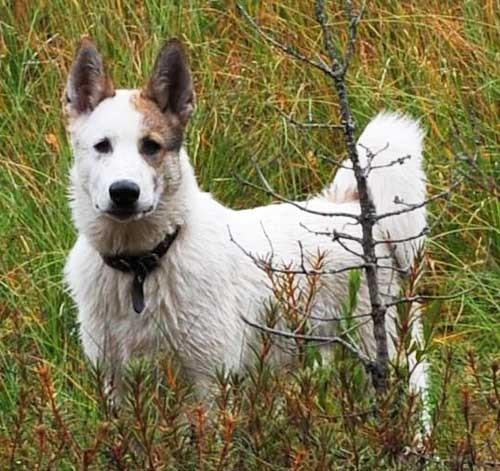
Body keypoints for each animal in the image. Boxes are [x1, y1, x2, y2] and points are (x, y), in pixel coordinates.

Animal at [63, 38, 429, 419]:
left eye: (151, 146)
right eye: (102, 146)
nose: (123, 192)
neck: (142, 267)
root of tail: (349, 205)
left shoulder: (210, 382)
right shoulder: (113, 379)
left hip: (387, 350)